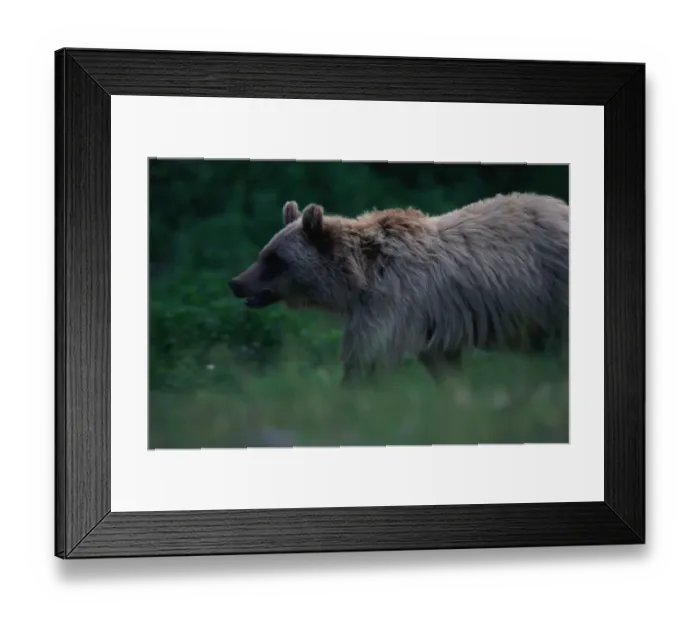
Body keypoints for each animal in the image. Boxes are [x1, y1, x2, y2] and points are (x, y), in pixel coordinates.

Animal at [229, 192, 569, 384]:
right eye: (263, 253)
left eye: (274, 259)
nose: (236, 283)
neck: (356, 280)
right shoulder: (429, 323)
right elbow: (443, 365)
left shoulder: (393, 303)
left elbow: (367, 357)